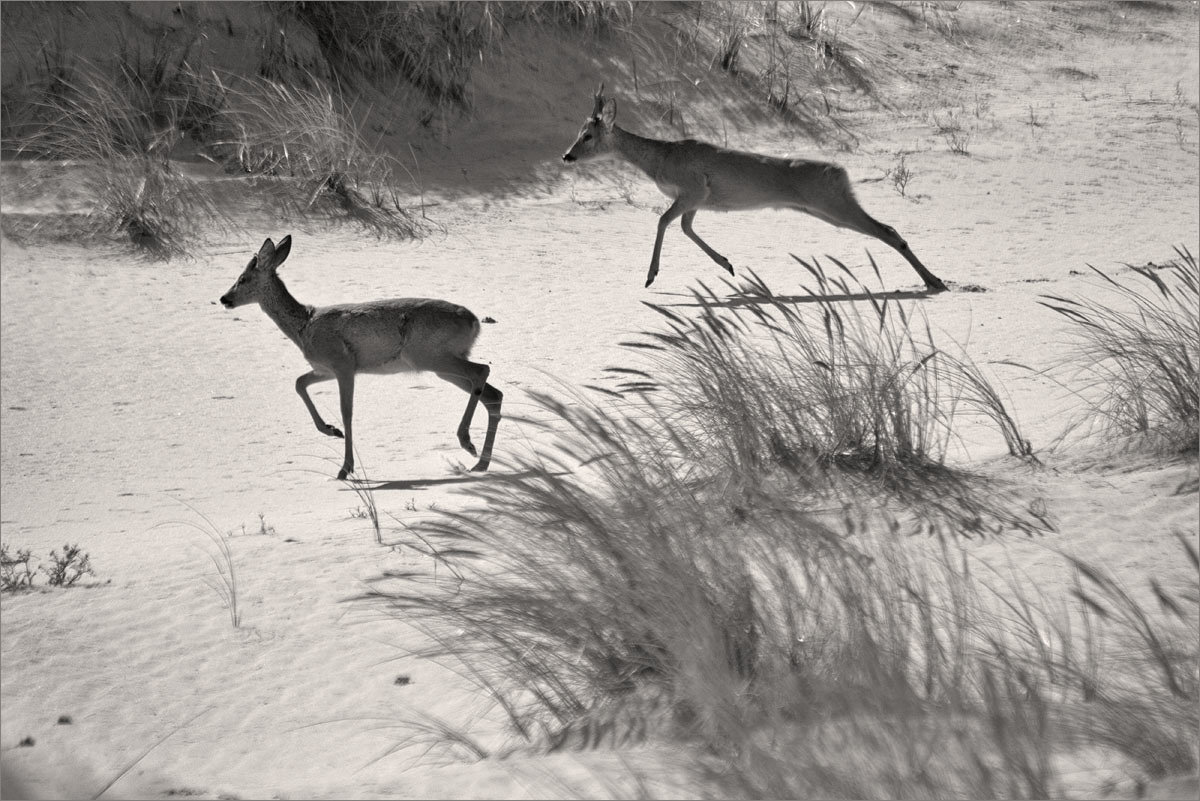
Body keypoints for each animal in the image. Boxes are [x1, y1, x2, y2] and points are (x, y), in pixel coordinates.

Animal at [220, 235, 501, 479]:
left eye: (243, 278)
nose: (224, 298)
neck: (304, 325)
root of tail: (474, 322)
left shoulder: (343, 364)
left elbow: (347, 412)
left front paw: (345, 468)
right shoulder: (324, 369)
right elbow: (299, 383)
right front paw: (331, 431)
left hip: (431, 356)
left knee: (482, 371)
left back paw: (467, 442)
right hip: (443, 366)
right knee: (493, 394)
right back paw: (481, 462)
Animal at [559, 85, 945, 291]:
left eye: (588, 135)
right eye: (578, 133)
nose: (567, 155)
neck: (661, 157)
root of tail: (840, 171)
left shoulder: (692, 191)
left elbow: (663, 221)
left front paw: (651, 276)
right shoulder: (696, 200)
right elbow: (685, 227)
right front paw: (728, 265)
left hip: (833, 204)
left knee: (888, 230)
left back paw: (934, 280)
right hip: (827, 208)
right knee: (889, 229)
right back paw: (932, 280)